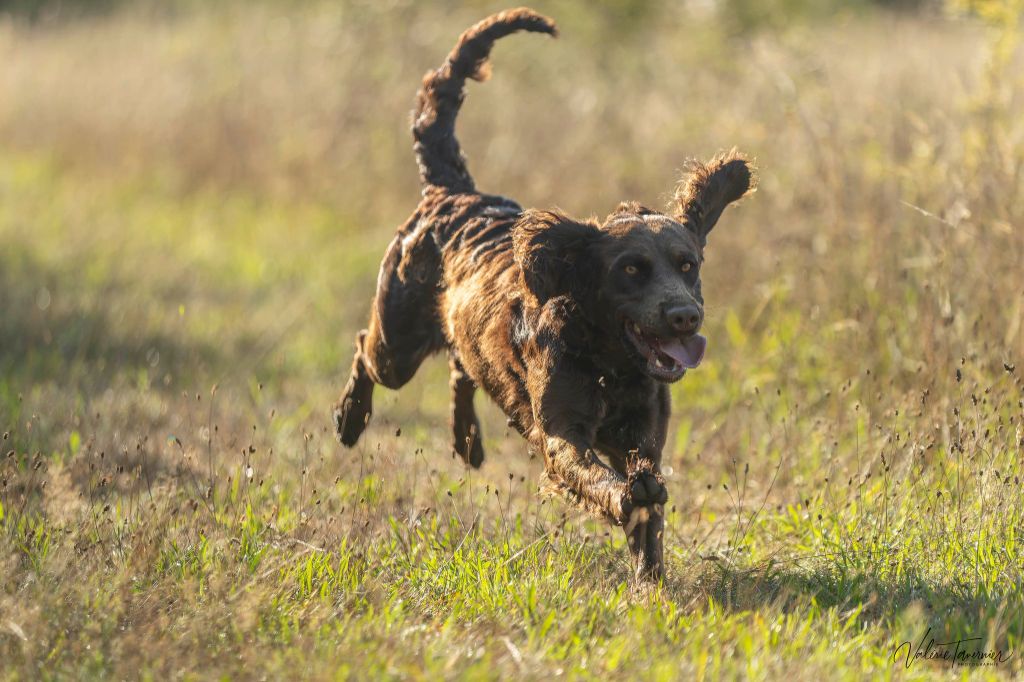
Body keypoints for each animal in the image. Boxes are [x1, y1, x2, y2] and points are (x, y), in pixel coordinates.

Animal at [333, 6, 753, 577]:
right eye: (631, 269)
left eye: (687, 265)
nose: (685, 316)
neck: (609, 361)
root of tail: (452, 191)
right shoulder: (562, 432)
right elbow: (596, 479)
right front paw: (624, 499)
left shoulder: (644, 430)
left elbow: (649, 501)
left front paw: (650, 575)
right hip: (395, 346)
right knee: (365, 348)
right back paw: (351, 419)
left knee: (461, 365)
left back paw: (467, 441)